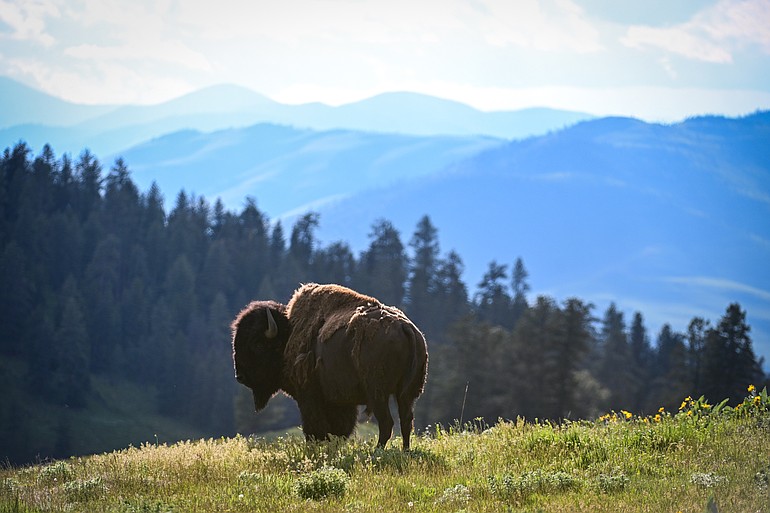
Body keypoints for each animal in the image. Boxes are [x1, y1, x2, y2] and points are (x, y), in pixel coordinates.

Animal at [231, 283, 428, 450]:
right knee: (406, 421)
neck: (287, 334)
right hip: (408, 393)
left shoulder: (309, 396)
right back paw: (405, 451)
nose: (240, 376)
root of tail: (406, 328)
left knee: (387, 422)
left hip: (378, 393)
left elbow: (316, 429)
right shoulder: (340, 401)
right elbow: (338, 430)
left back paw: (377, 452)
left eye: (257, 344)